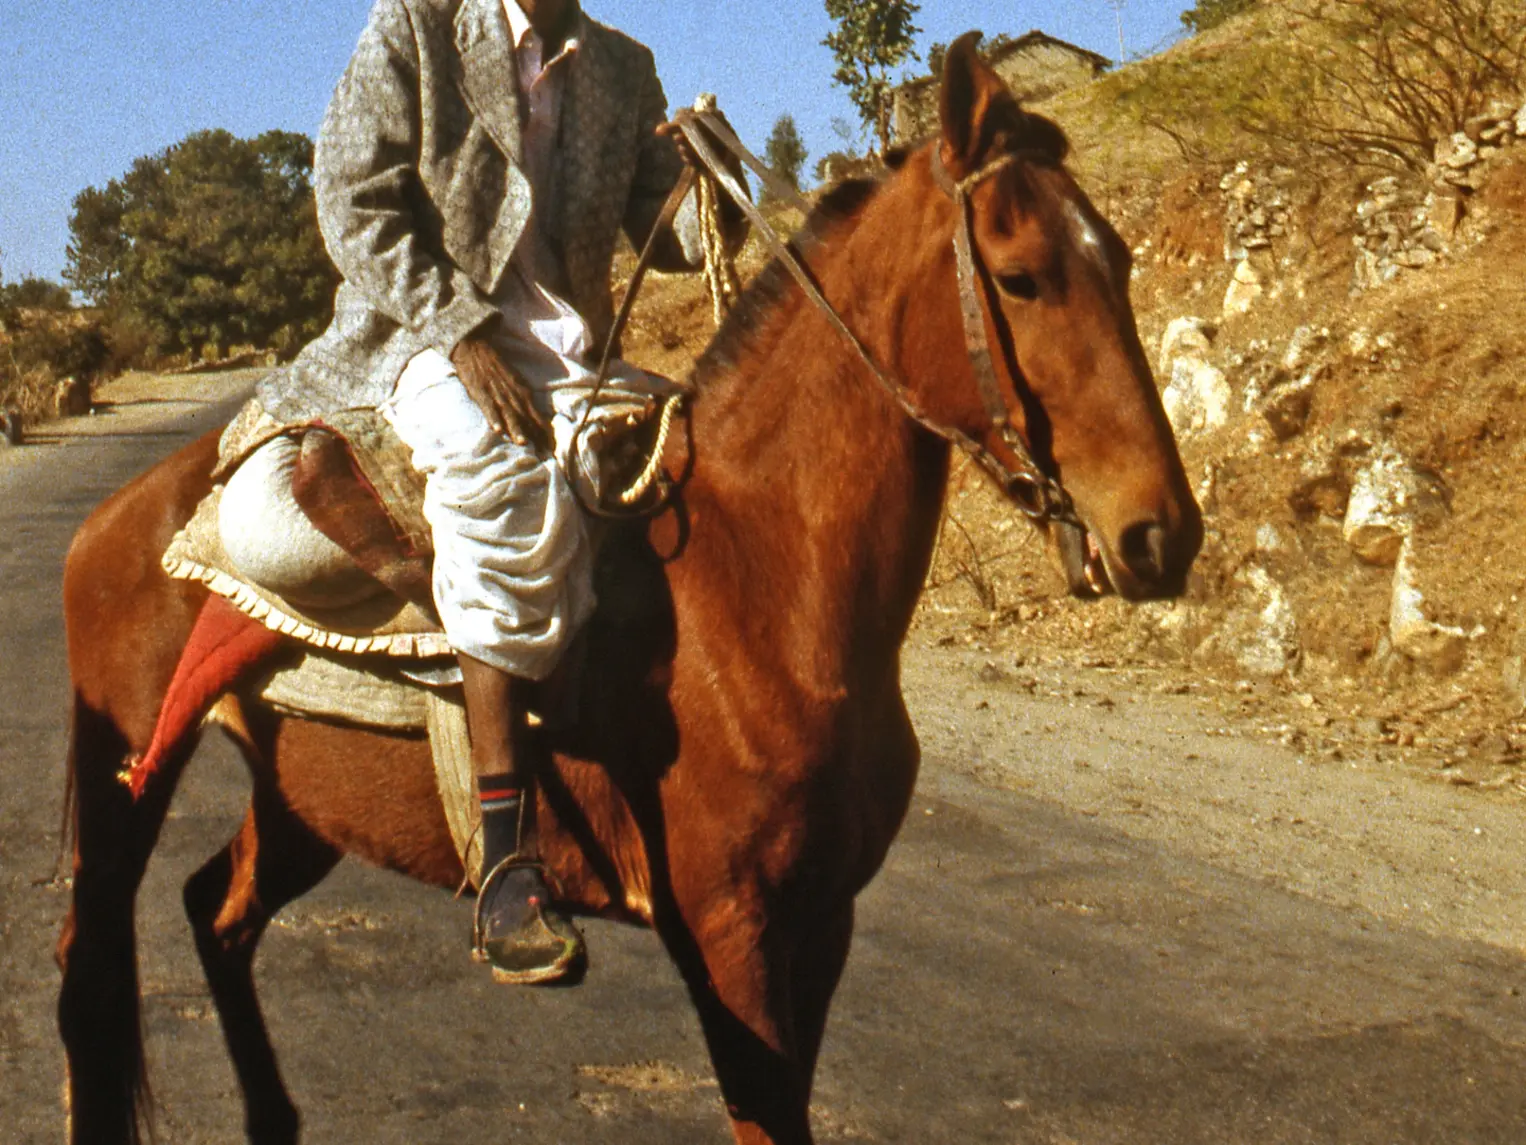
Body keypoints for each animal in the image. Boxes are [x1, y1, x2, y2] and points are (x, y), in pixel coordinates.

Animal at [56, 40, 1202, 1145]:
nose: (1161, 533)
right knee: (86, 977)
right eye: (1019, 277)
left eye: (1119, 257)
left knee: (217, 911)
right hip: (129, 781)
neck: (759, 587)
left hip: (301, 801)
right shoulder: (728, 933)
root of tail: (115, 520)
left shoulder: (821, 923)